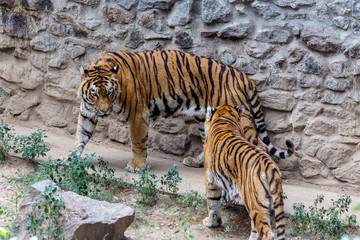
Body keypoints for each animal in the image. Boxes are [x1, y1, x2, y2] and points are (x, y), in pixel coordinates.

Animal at [71, 49, 294, 172]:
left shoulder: (137, 115)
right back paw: (198, 162)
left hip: (239, 117)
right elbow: (80, 134)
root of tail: (240, 74)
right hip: (206, 117)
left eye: (109, 93)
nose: (103, 112)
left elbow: (138, 143)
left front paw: (137, 166)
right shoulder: (87, 111)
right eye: (94, 94)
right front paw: (70, 158)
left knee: (260, 145)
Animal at [204, 106, 286, 240]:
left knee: (266, 232)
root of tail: (269, 164)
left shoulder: (209, 178)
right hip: (264, 202)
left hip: (254, 203)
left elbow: (212, 202)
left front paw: (211, 223)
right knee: (256, 227)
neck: (225, 118)